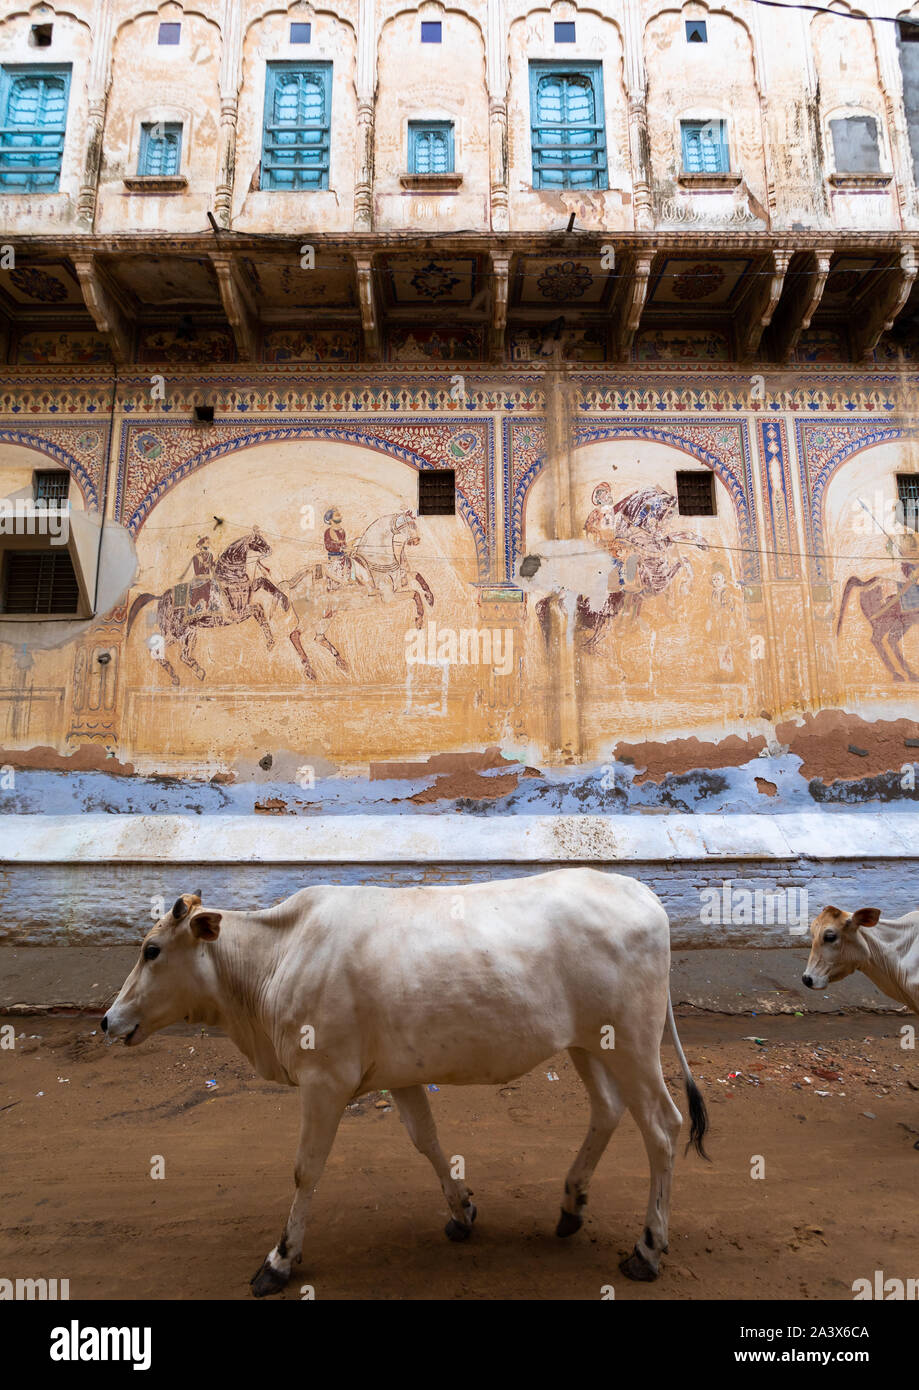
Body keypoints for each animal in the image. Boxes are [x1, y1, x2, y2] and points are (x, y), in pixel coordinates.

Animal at [105, 872, 709, 1295]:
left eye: (151, 950)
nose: (109, 1021)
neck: (275, 960)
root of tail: (644, 895)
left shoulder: (325, 1080)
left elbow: (306, 1169)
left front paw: (279, 1260)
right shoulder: (399, 1076)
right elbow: (427, 1140)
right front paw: (462, 1212)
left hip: (633, 1044)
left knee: (662, 1127)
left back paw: (647, 1250)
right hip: (590, 1044)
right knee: (607, 1110)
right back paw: (570, 1205)